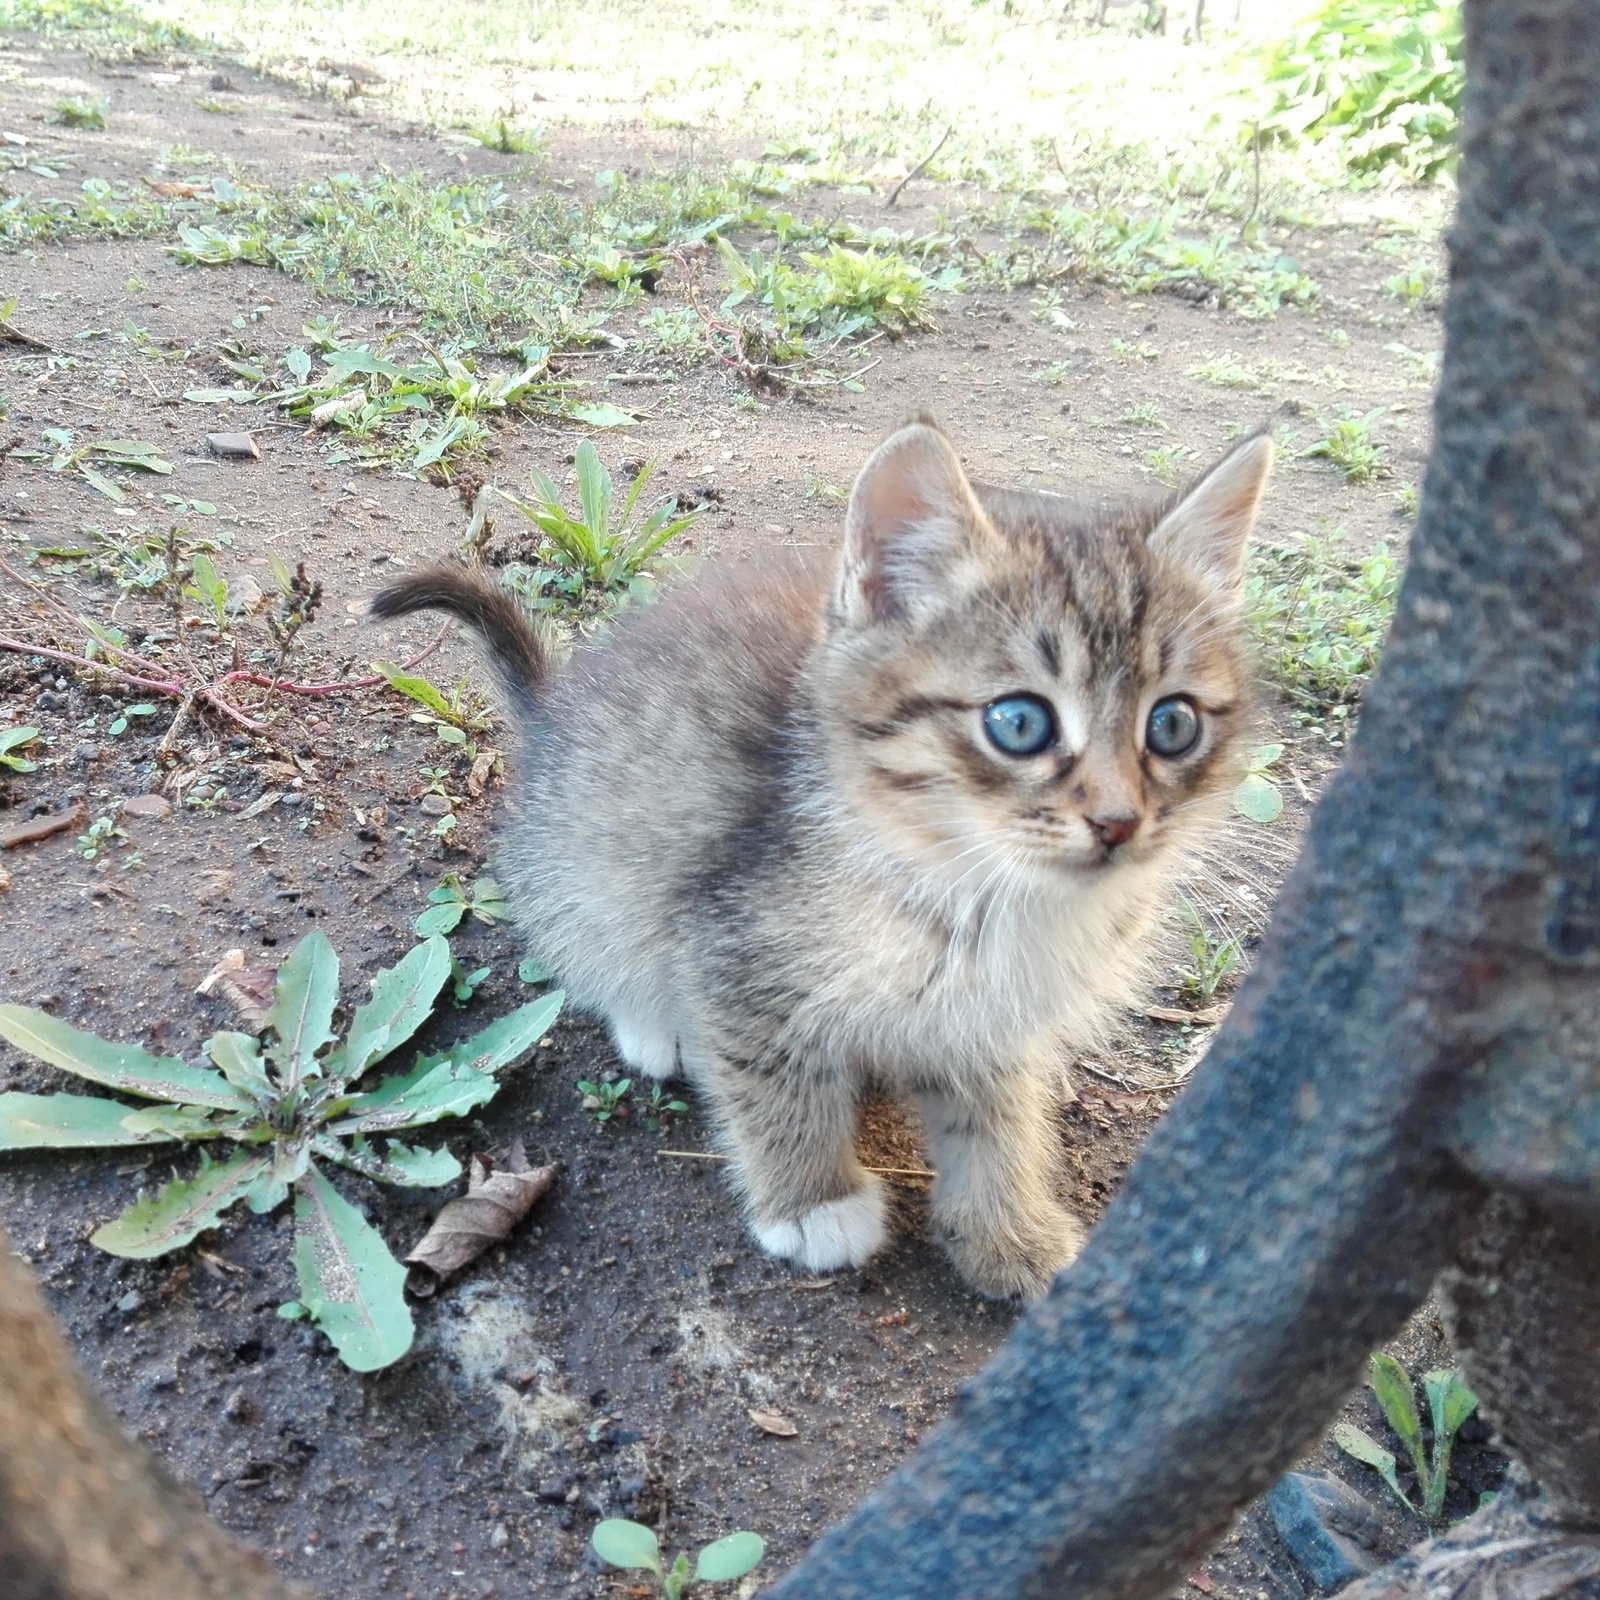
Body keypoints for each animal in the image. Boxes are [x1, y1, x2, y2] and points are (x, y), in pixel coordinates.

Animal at [374, 416, 1273, 1299]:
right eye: (1019, 723)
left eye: (1173, 725)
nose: (1120, 822)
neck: (983, 887)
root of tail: (551, 712)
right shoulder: (732, 939)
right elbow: (773, 1074)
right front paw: (813, 1201)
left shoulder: (991, 1017)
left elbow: (998, 1114)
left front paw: (1006, 1226)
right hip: (590, 855)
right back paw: (653, 1022)